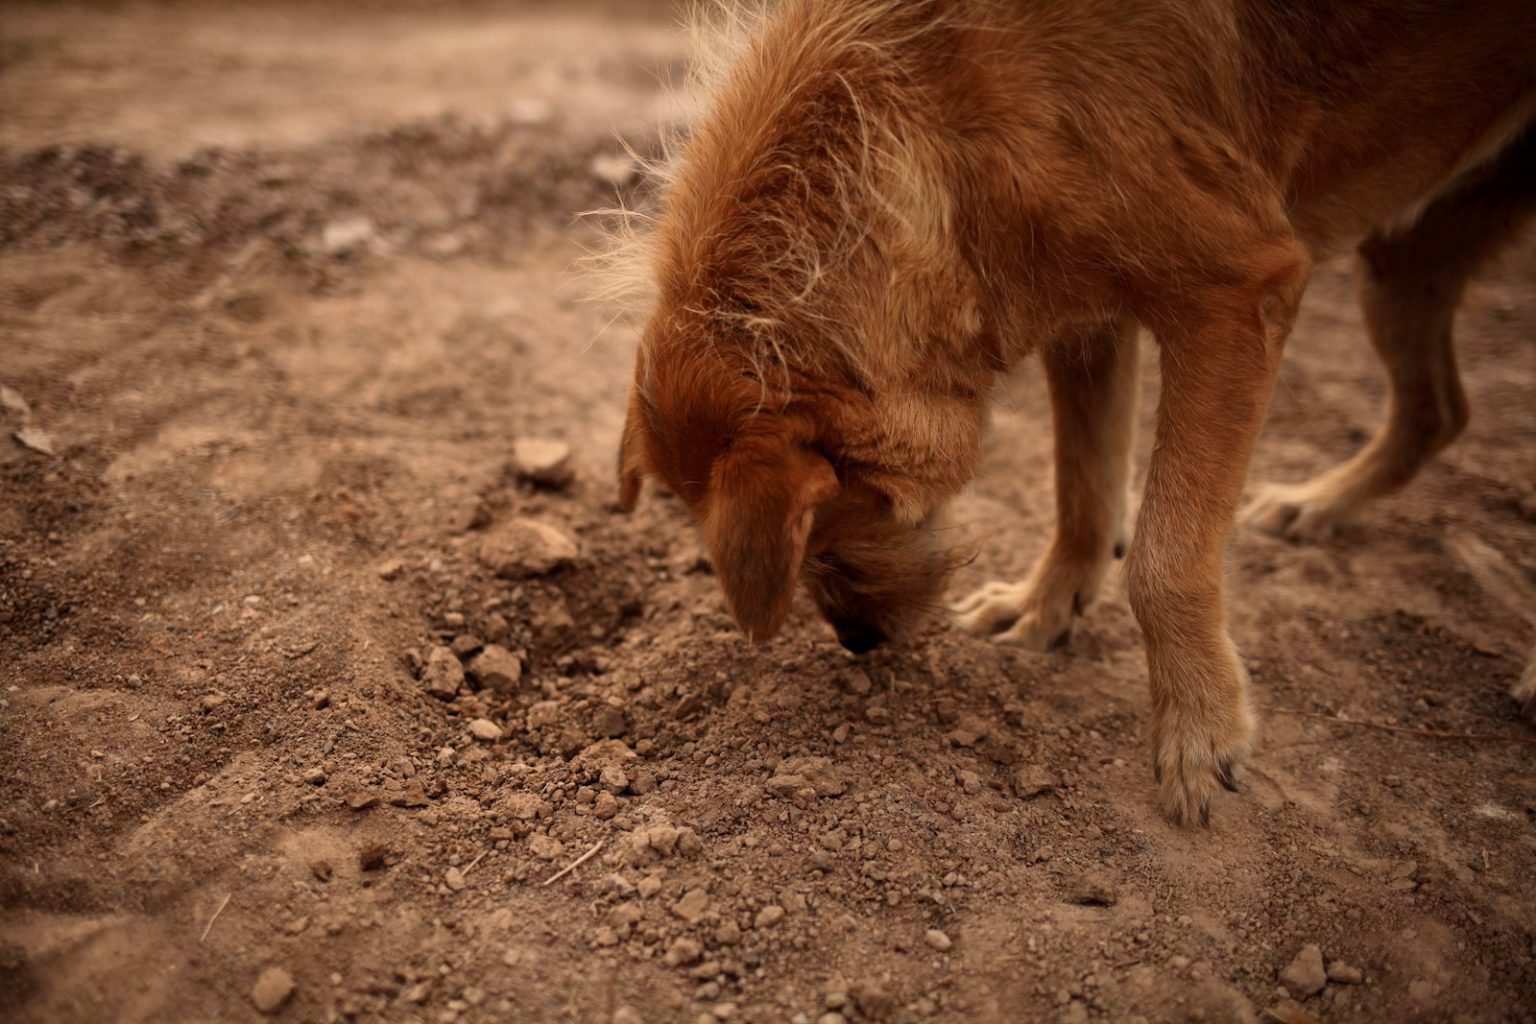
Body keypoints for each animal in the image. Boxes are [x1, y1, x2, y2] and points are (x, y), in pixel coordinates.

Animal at [614, 0, 1536, 822]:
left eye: (831, 534)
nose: (859, 644)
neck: (935, 107)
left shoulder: (1239, 295)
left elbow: (1165, 554)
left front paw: (1198, 730)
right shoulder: (1084, 317)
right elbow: (1084, 489)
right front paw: (1047, 605)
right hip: (1406, 253)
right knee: (1440, 410)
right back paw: (1320, 503)